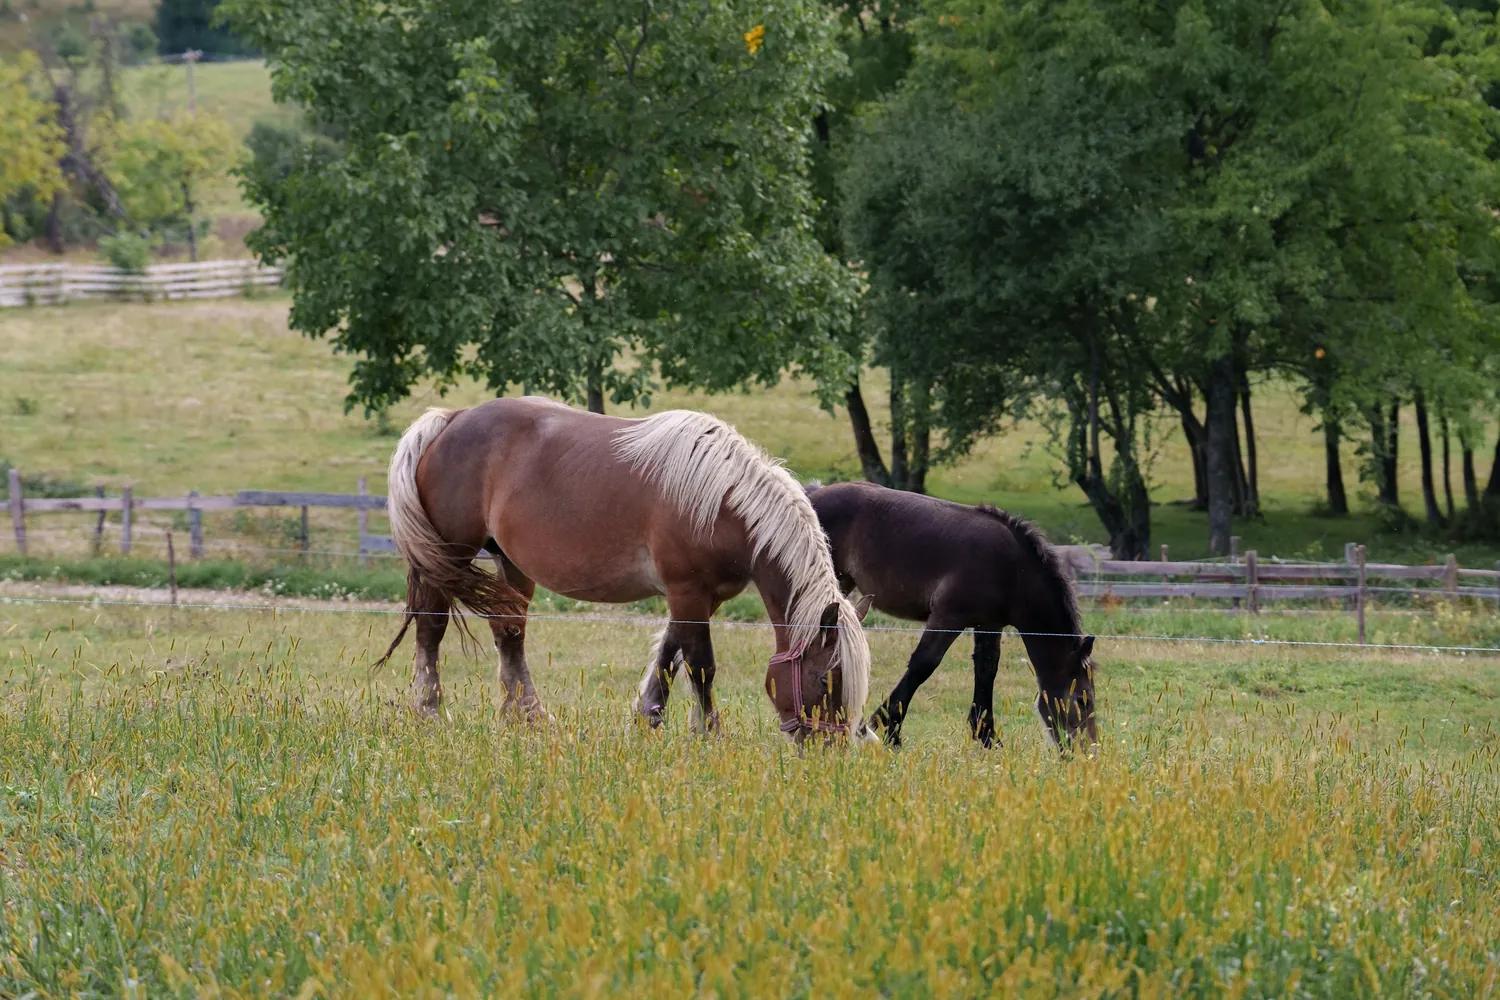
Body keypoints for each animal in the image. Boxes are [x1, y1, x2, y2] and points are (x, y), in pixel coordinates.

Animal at [378, 396, 873, 743]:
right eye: (826, 679)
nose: (828, 748)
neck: (720, 501)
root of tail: (452, 418)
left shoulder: (700, 597)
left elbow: (669, 656)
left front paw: (647, 719)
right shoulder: (687, 592)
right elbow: (701, 665)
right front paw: (708, 733)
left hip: (510, 564)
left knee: (509, 632)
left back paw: (528, 716)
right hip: (449, 556)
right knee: (431, 629)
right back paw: (429, 711)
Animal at [805, 480, 1099, 751]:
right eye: (1082, 700)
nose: (1089, 750)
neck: (1012, 570)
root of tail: (813, 492)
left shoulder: (989, 623)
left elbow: (986, 669)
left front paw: (987, 736)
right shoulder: (948, 617)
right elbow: (924, 664)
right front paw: (886, 728)